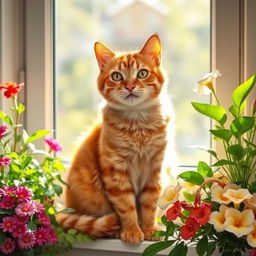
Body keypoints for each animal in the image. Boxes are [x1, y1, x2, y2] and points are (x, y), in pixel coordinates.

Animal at [57, 34, 174, 244]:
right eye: (117, 76)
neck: (138, 126)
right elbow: (126, 207)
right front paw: (132, 231)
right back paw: (114, 230)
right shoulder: (116, 172)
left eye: (142, 73)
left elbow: (149, 205)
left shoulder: (155, 169)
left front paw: (149, 229)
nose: (129, 86)